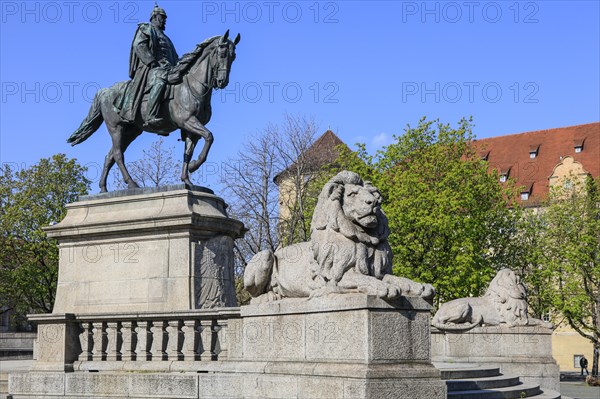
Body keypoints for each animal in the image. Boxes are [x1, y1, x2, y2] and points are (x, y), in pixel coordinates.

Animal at [244, 170, 436, 304]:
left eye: (371, 194)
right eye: (352, 194)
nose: (373, 203)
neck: (362, 238)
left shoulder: (380, 272)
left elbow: (400, 279)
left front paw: (420, 286)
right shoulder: (337, 276)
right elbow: (365, 279)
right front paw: (385, 287)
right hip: (265, 255)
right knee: (253, 297)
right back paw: (268, 297)